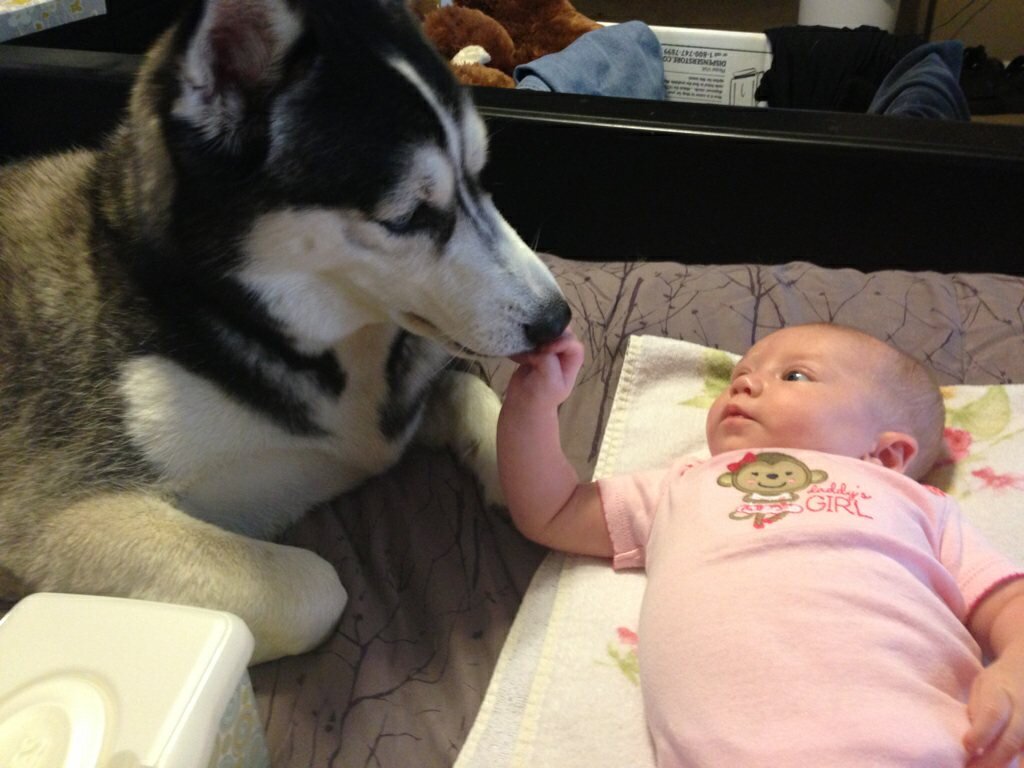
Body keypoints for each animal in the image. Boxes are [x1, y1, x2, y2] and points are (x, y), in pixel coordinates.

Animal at [0, 0, 570, 664]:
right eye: (407, 216)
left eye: (481, 176)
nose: (557, 319)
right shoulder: (57, 514)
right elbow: (316, 589)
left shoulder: (387, 416)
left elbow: (467, 390)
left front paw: (528, 471)